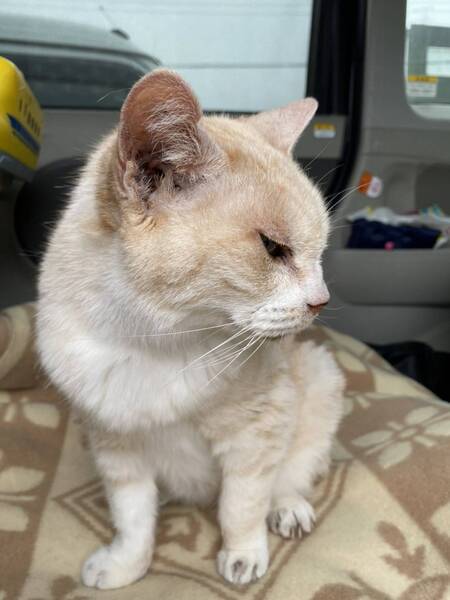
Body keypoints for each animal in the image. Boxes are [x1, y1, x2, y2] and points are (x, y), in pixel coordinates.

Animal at [37, 69, 344, 590]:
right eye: (273, 248)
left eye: (319, 252)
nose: (321, 302)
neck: (152, 347)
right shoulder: (117, 452)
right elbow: (133, 520)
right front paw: (125, 566)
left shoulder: (256, 433)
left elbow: (242, 505)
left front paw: (243, 556)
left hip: (319, 380)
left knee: (292, 473)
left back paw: (288, 510)